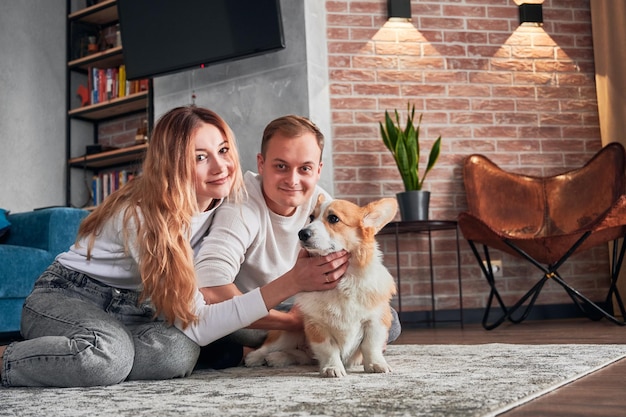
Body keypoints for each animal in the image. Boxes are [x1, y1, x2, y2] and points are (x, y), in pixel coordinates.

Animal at [244, 195, 394, 376]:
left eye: (333, 218)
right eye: (311, 217)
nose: (302, 233)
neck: (342, 283)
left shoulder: (375, 321)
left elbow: (370, 346)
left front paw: (376, 364)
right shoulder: (317, 325)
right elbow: (328, 349)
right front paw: (332, 367)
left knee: (300, 355)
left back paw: (277, 358)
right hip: (287, 333)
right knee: (269, 346)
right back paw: (255, 357)